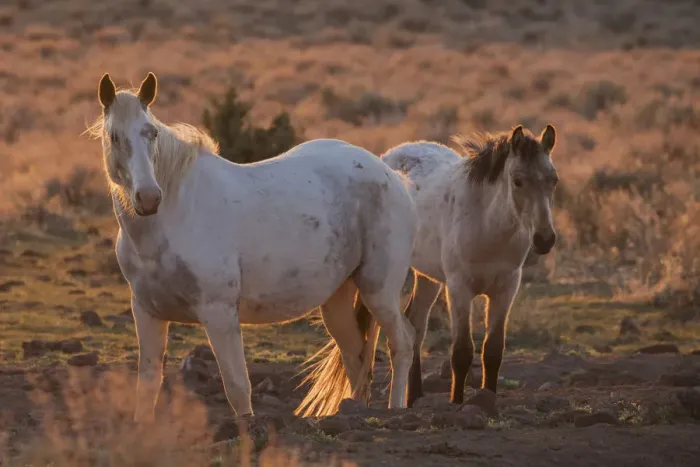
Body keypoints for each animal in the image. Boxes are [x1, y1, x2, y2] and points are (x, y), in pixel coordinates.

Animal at [87, 72, 417, 422]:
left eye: (151, 133)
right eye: (114, 137)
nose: (149, 198)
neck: (173, 217)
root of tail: (391, 175)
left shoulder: (219, 313)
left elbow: (237, 387)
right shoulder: (148, 312)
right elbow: (148, 386)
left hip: (378, 291)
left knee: (403, 342)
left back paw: (396, 409)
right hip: (337, 299)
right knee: (356, 357)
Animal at [355, 124, 559, 407]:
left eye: (553, 180)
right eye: (518, 181)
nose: (544, 239)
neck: (487, 227)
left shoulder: (505, 289)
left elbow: (493, 350)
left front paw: (488, 400)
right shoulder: (459, 289)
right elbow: (462, 352)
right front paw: (456, 402)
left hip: (428, 277)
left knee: (416, 325)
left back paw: (414, 396)